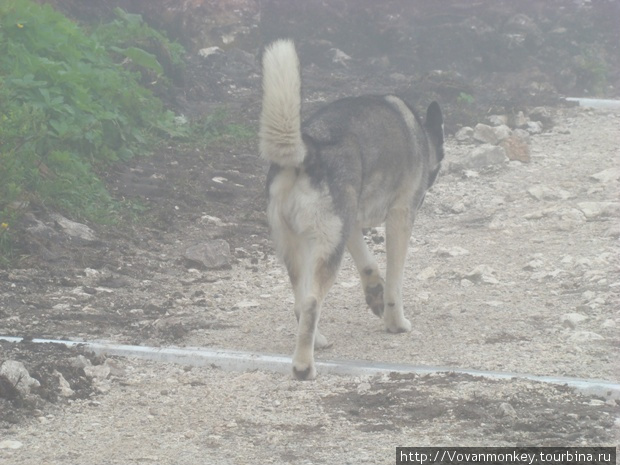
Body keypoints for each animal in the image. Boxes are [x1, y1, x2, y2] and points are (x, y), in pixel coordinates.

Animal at [260, 40, 444, 378]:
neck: (420, 135)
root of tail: (311, 149)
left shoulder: (351, 225)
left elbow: (369, 265)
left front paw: (374, 293)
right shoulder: (400, 217)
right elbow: (395, 283)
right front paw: (395, 323)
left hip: (302, 246)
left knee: (300, 302)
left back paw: (316, 340)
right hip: (326, 249)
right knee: (310, 303)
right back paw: (304, 367)